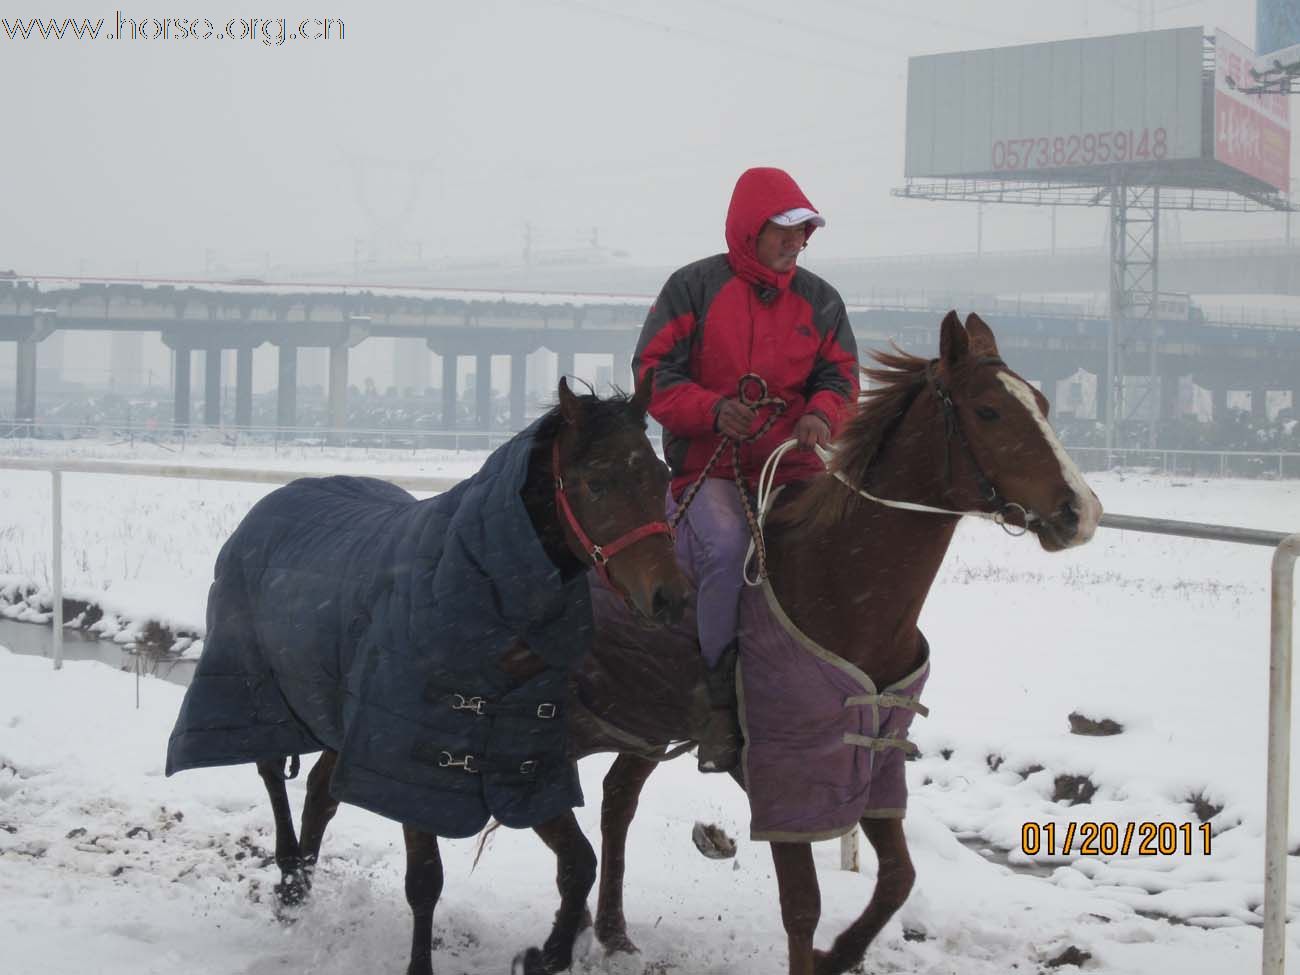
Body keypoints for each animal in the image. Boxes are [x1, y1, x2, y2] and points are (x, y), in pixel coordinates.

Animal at [167, 377, 691, 975]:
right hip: (261, 690)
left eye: (661, 476)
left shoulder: (520, 764)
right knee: (273, 769)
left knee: (321, 791)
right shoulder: (409, 758)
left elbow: (579, 863)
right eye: (597, 482)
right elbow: (425, 881)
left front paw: (545, 954)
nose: (670, 597)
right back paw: (290, 876)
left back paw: (302, 878)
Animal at [564, 314, 1102, 975]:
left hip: (645, 719)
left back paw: (613, 931)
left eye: (1044, 404)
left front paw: (841, 952)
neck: (844, 582)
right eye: (989, 410)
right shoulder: (784, 773)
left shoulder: (874, 760)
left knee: (617, 800)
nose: (1080, 512)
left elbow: (898, 878)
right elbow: (803, 906)